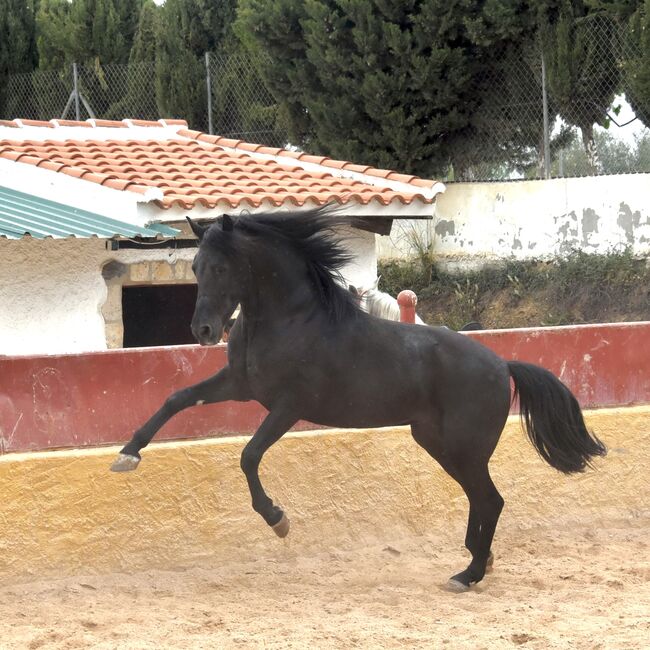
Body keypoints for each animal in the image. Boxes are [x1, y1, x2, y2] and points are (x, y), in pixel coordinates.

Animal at [110, 205, 604, 588]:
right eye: (195, 267)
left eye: (221, 267)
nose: (204, 331)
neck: (291, 320)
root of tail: (504, 365)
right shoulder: (239, 385)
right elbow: (176, 399)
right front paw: (127, 455)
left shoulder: (287, 406)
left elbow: (248, 456)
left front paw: (278, 520)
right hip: (440, 445)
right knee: (479, 499)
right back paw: (475, 559)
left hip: (463, 448)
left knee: (491, 501)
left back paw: (470, 574)